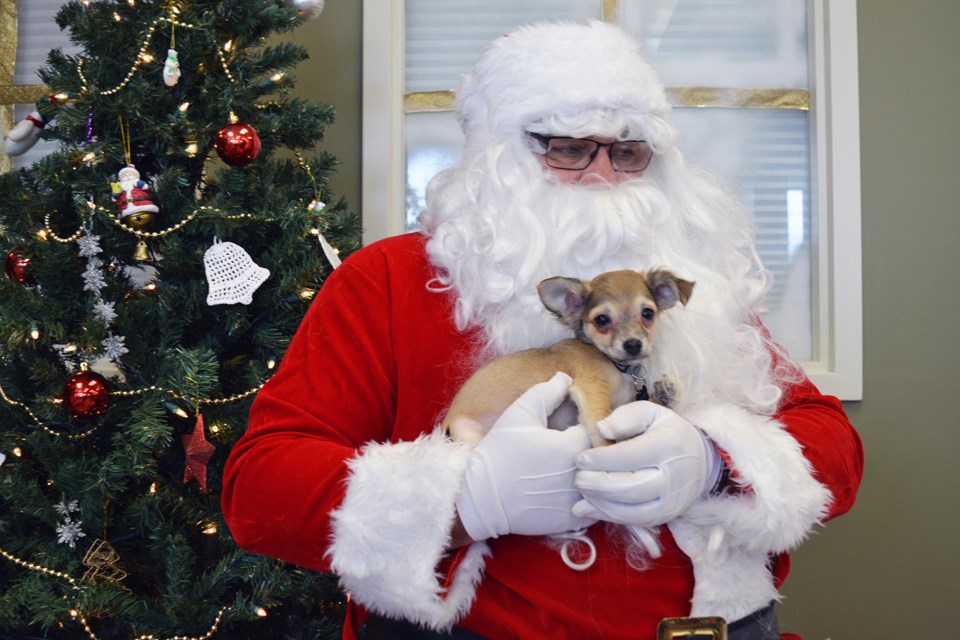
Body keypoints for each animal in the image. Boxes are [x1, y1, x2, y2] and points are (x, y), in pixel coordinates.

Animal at [446, 268, 692, 448]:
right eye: (602, 320)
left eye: (647, 313)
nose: (632, 344)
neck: (616, 367)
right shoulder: (591, 389)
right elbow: (602, 428)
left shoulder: (625, 410)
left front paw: (666, 395)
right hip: (466, 430)